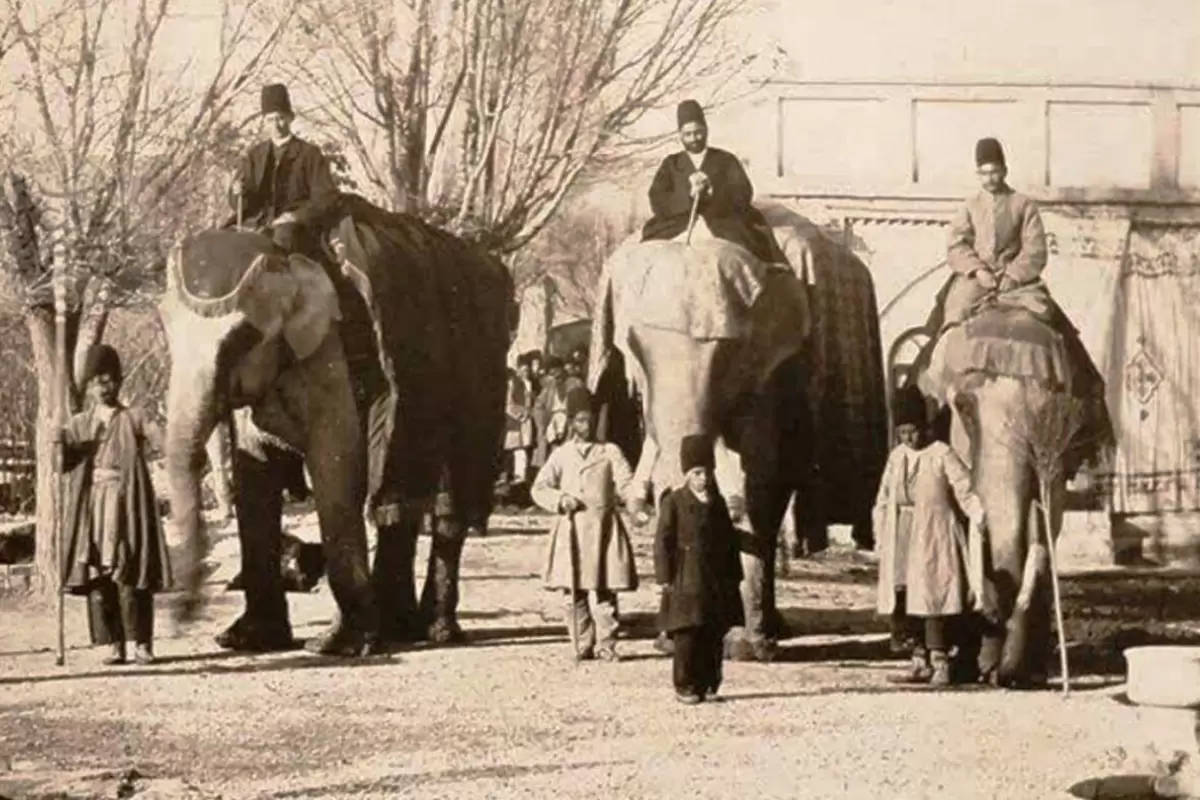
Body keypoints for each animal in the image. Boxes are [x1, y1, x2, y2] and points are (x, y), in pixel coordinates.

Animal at [160, 195, 516, 657]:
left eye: (240, 340)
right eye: (165, 330)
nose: (180, 620)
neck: (283, 248)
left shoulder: (331, 349)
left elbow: (336, 461)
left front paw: (338, 645)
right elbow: (255, 469)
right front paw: (244, 639)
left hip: (483, 379)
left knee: (447, 500)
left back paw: (432, 631)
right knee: (399, 502)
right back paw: (398, 629)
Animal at [590, 203, 892, 662]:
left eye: (728, 353)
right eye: (632, 349)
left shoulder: (775, 369)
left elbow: (759, 473)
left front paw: (744, 647)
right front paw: (674, 639)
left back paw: (766, 631)